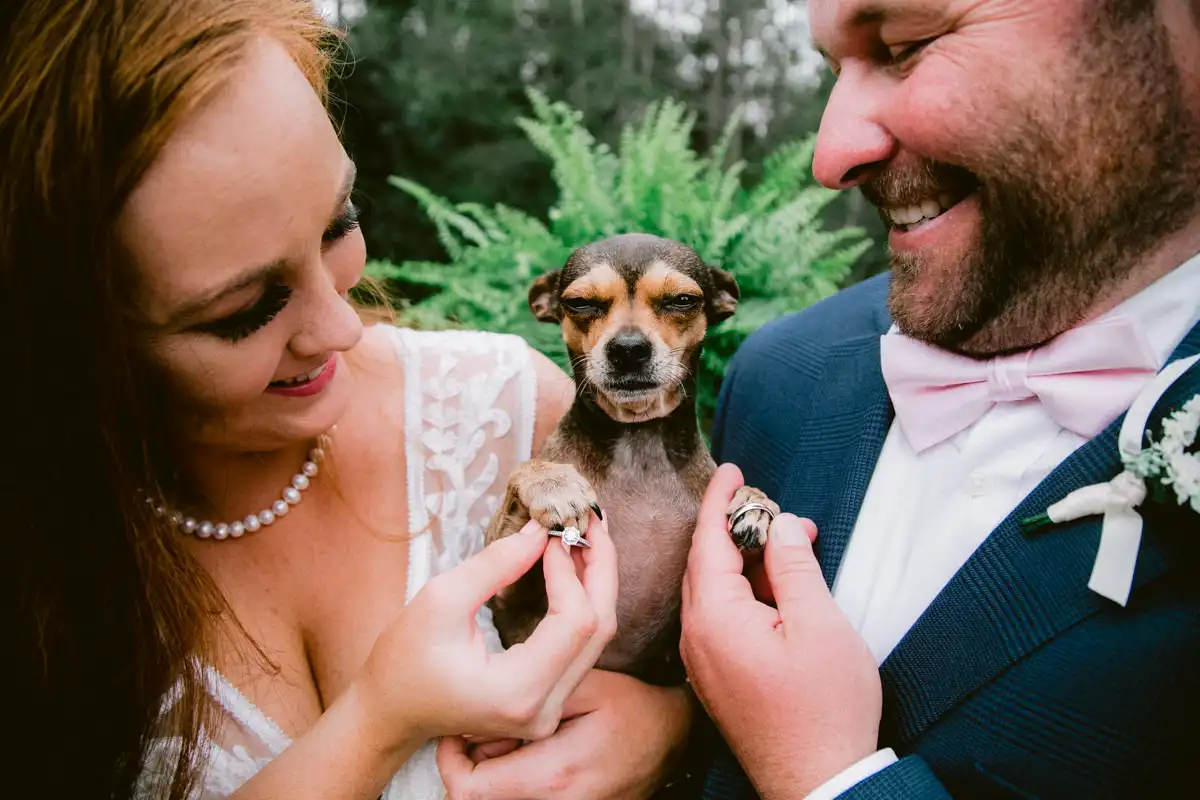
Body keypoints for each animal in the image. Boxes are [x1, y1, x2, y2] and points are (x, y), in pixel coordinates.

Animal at [482, 232, 782, 690]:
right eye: (580, 303)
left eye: (682, 300)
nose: (627, 349)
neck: (638, 442)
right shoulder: (506, 603)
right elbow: (524, 473)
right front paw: (554, 485)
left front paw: (756, 505)